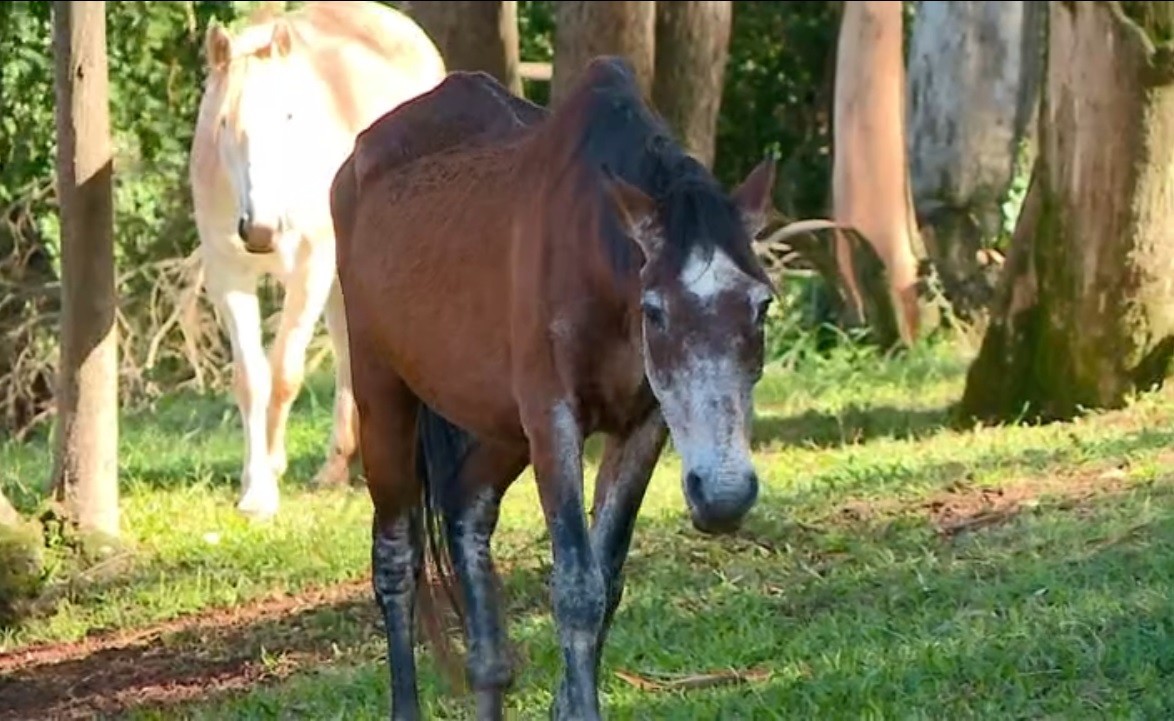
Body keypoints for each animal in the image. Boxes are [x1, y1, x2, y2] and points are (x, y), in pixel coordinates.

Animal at [190, 1, 446, 519]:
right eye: (223, 124)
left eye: (289, 116)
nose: (262, 229)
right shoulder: (228, 274)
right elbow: (252, 377)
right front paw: (257, 486)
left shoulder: (310, 264)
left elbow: (285, 372)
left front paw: (269, 474)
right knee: (351, 345)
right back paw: (338, 464)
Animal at [333, 59, 835, 718]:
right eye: (655, 311)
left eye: (762, 305)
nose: (725, 496)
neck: (595, 262)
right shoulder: (554, 421)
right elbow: (576, 587)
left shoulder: (642, 427)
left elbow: (609, 579)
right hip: (383, 396)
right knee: (396, 554)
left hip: (500, 426)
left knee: (468, 510)